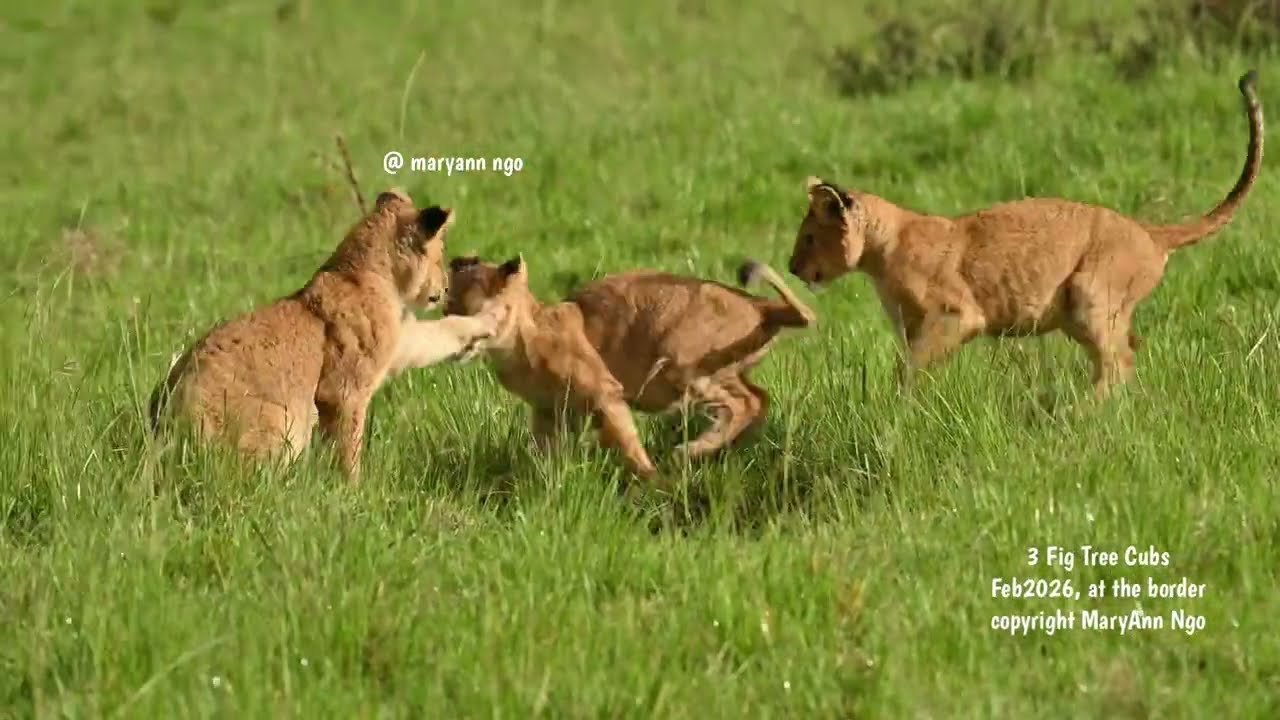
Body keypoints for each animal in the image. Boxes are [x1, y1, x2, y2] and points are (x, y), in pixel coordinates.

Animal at [148, 189, 504, 482]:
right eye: (438, 254)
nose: (444, 287)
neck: (362, 271)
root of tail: (166, 427)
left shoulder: (399, 341)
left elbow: (439, 333)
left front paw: (487, 323)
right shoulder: (342, 392)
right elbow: (349, 446)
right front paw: (353, 492)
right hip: (282, 419)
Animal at [443, 255, 816, 486]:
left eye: (462, 308)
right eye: (446, 307)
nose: (448, 334)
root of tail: (760, 305)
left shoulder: (606, 392)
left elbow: (629, 445)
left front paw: (655, 482)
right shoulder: (549, 413)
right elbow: (543, 456)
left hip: (680, 363)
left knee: (744, 404)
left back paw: (690, 451)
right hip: (723, 371)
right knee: (758, 399)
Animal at [787, 69, 1263, 398]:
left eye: (809, 237)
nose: (792, 268)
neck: (880, 251)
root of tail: (1147, 231)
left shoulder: (958, 314)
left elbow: (911, 367)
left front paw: (901, 407)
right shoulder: (912, 324)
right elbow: (911, 362)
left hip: (1092, 293)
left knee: (1119, 364)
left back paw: (1077, 415)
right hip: (1082, 313)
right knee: (1122, 358)